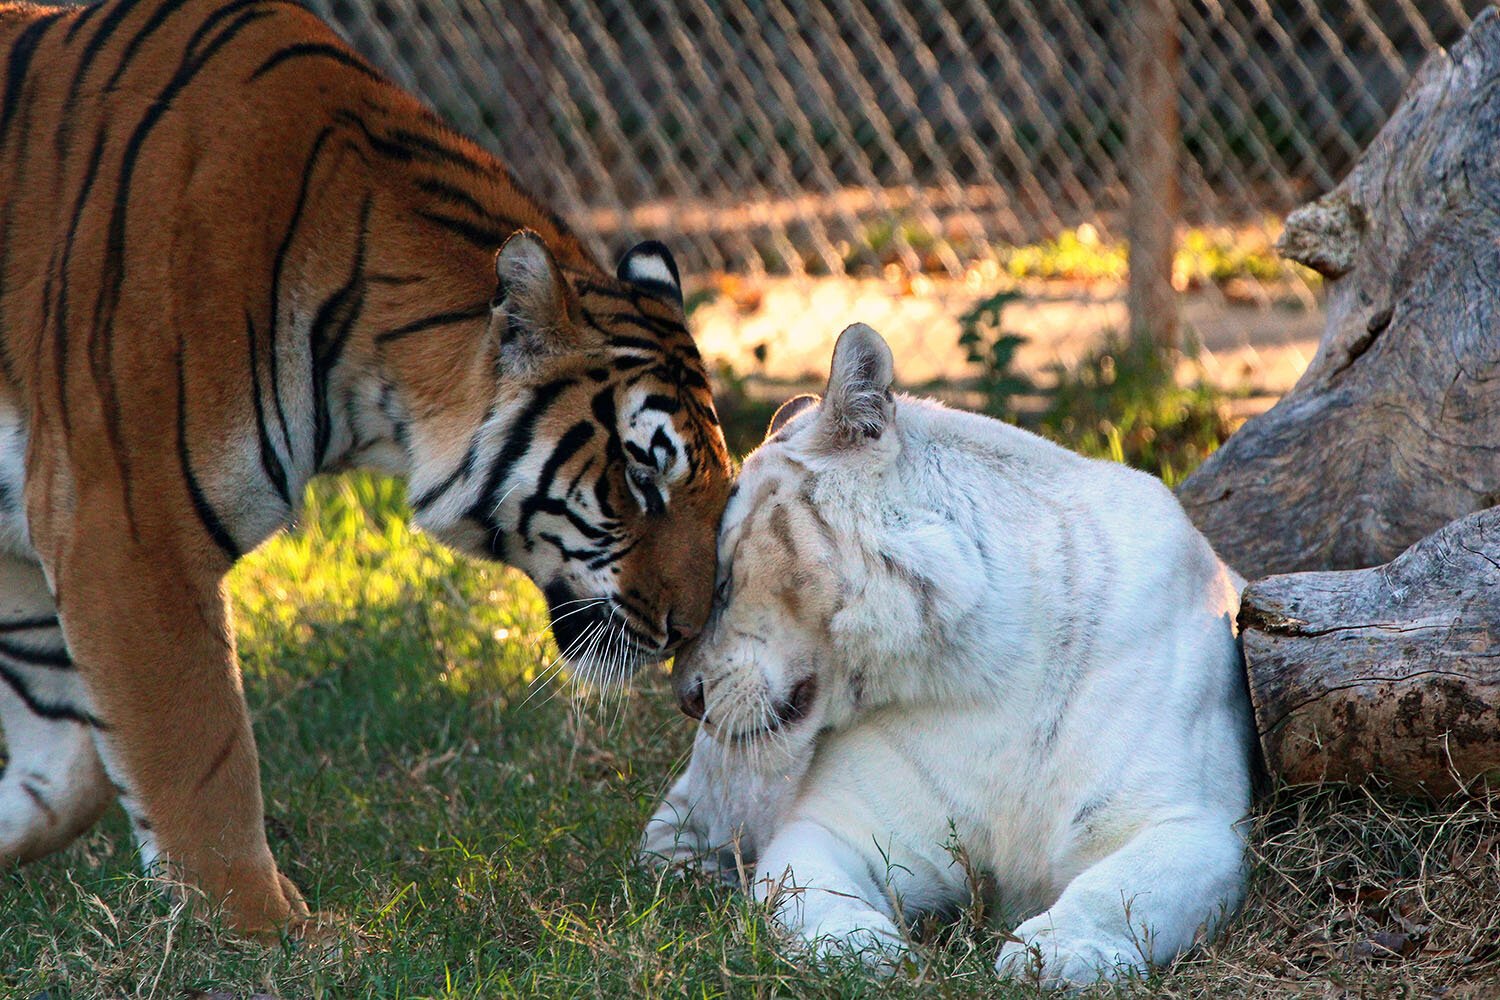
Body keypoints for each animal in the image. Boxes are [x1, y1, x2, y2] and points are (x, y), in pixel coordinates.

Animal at [0, 0, 732, 941]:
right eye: (642, 479)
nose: (686, 633)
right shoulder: (127, 527)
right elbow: (197, 754)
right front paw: (267, 934)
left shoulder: (35, 542)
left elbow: (72, 772)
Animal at [636, 326, 1254, 983]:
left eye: (724, 581)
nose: (687, 699)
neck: (987, 667)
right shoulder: (839, 826)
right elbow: (808, 896)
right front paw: (865, 952)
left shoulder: (1190, 823)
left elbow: (1117, 891)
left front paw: (1057, 954)